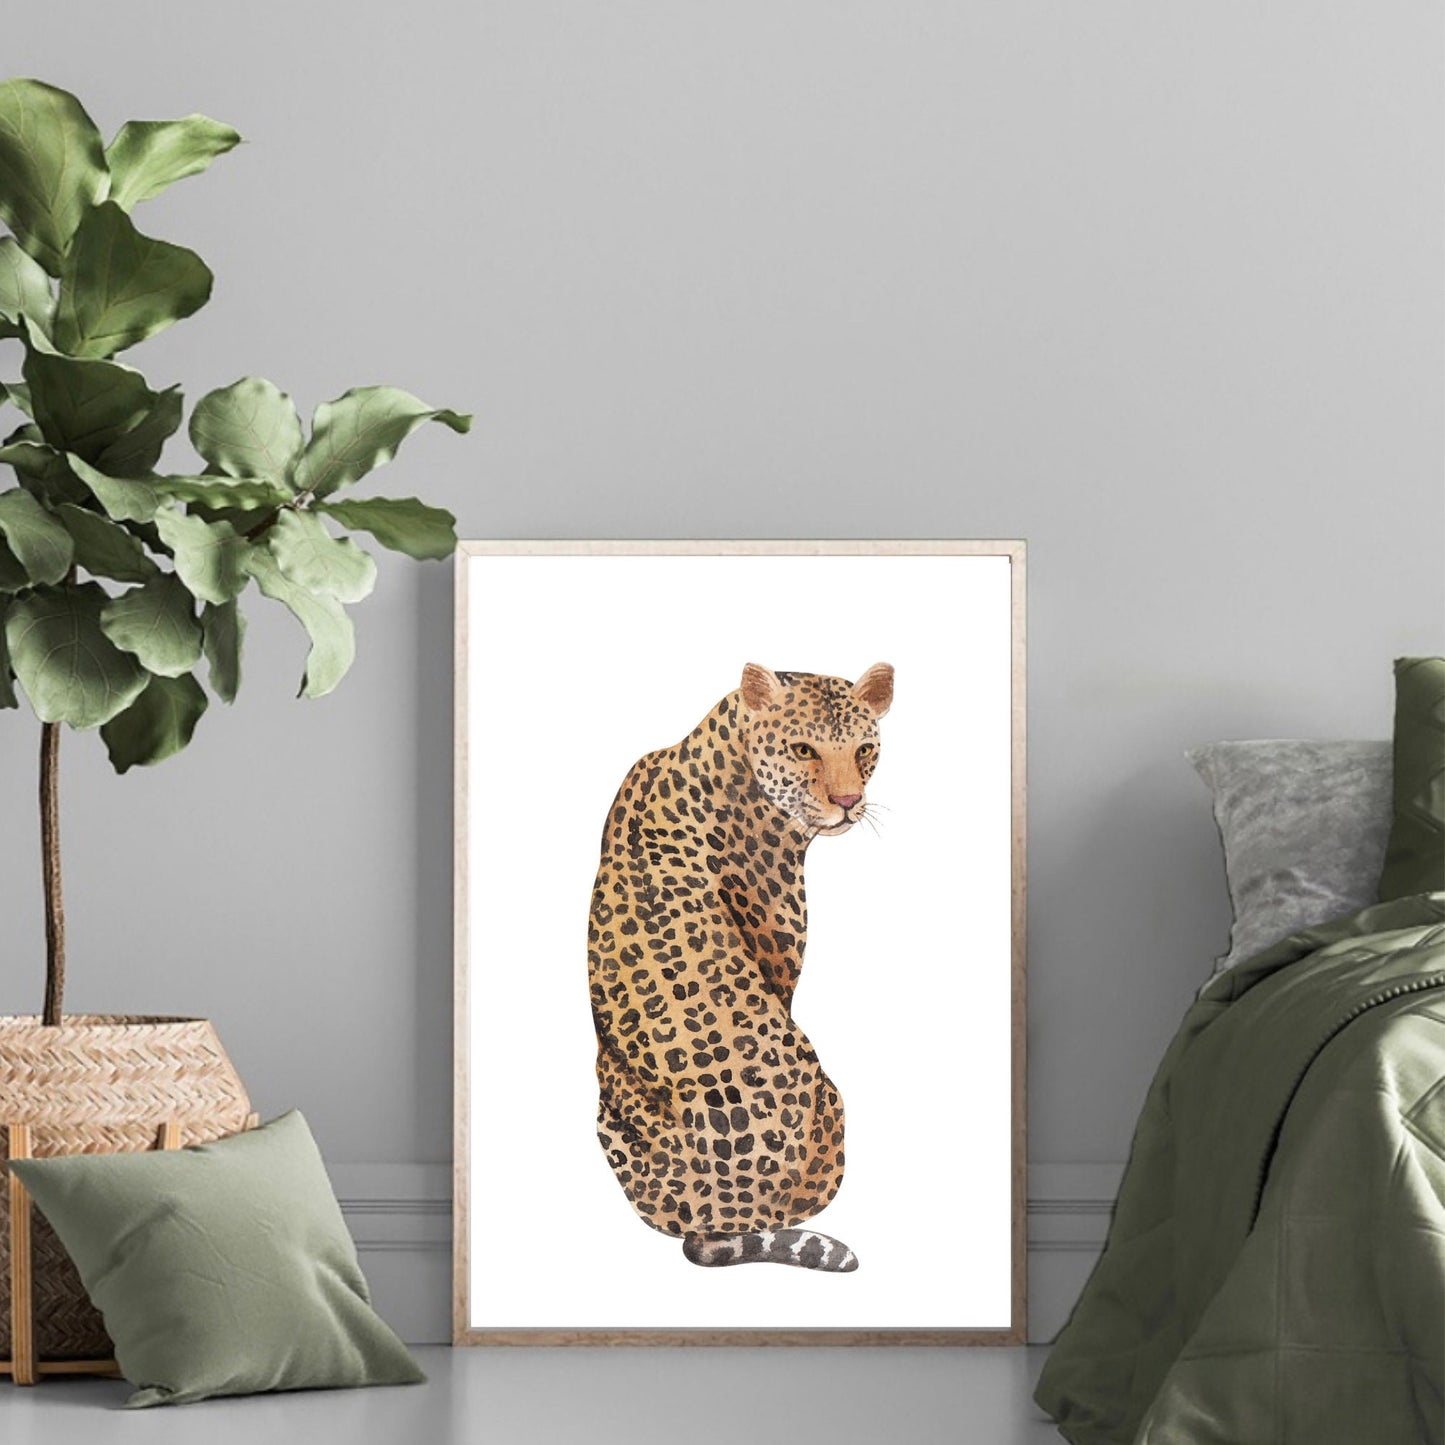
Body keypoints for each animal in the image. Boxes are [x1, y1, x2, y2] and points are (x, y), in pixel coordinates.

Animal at [588, 660, 894, 1272]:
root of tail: (708, 1218)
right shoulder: (779, 953)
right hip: (831, 1099)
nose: (850, 801)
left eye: (866, 749)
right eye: (803, 749)